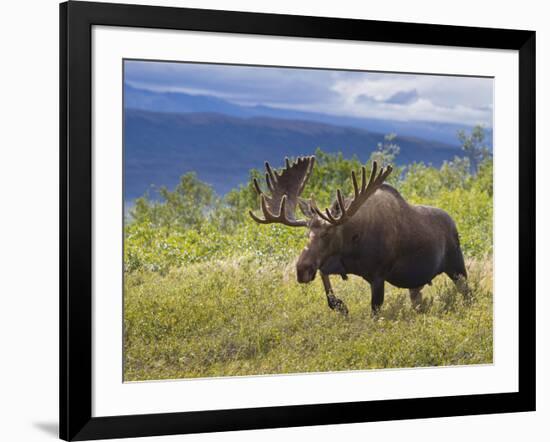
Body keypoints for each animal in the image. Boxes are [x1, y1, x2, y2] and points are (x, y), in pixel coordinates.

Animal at [250, 155, 470, 314]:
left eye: (328, 233)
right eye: (307, 234)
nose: (301, 269)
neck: (352, 245)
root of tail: (454, 224)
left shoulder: (379, 275)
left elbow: (375, 310)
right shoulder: (334, 264)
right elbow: (326, 284)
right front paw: (340, 306)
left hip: (457, 267)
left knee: (468, 294)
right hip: (416, 283)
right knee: (418, 301)